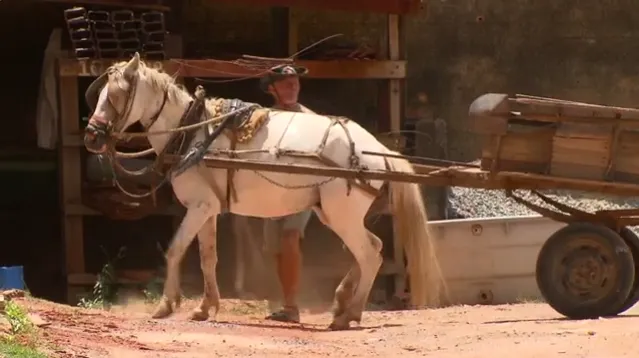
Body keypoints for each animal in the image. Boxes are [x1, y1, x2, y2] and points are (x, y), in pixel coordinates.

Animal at [82, 52, 444, 330]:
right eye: (99, 96)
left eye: (115, 96)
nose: (92, 137)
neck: (192, 131)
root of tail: (377, 149)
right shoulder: (208, 208)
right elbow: (207, 257)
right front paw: (204, 307)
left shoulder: (199, 207)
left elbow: (174, 250)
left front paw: (166, 305)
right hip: (334, 214)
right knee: (373, 247)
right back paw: (342, 302)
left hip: (341, 215)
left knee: (370, 254)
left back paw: (348, 314)